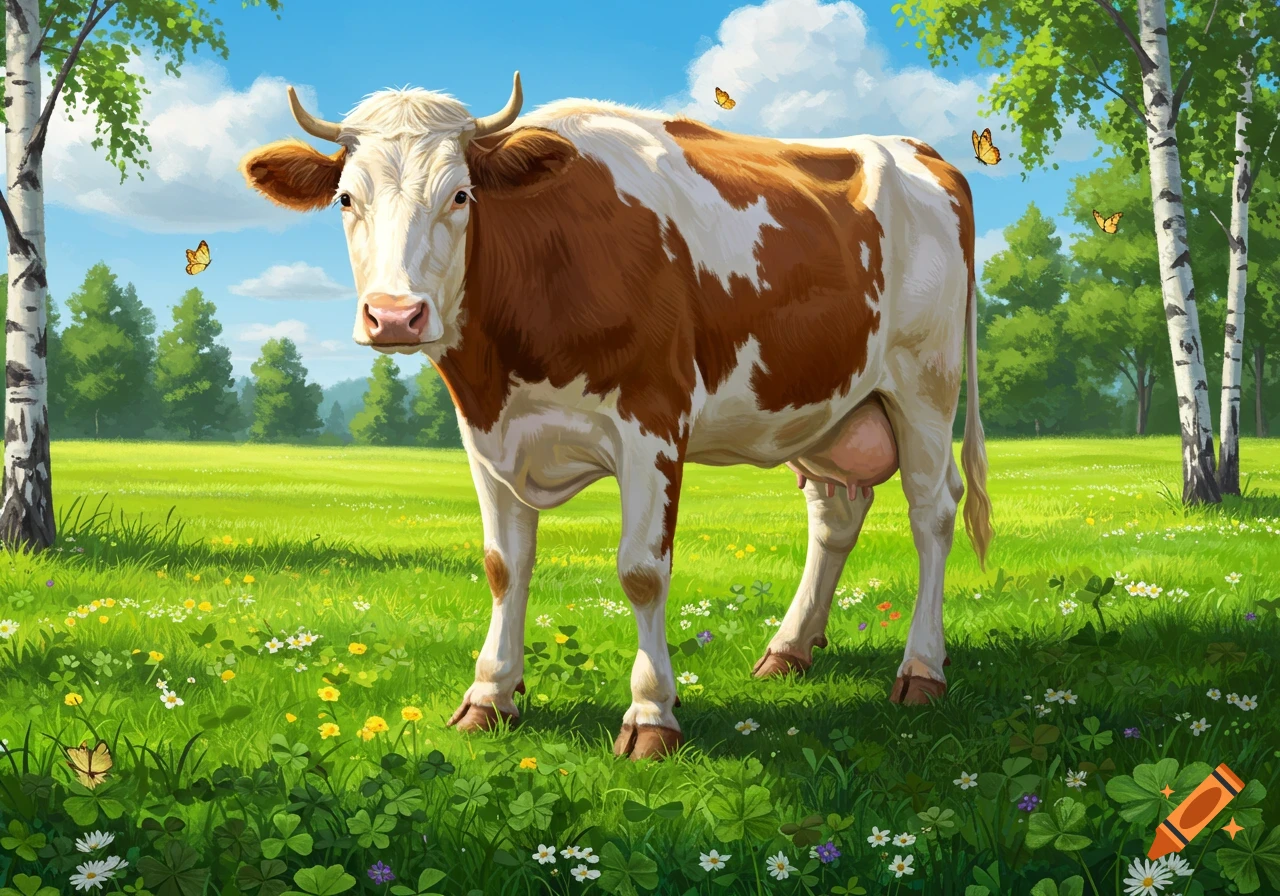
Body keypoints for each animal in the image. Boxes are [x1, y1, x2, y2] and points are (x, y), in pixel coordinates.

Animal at [240, 72, 993, 760]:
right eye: (346, 198)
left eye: (460, 195)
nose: (395, 315)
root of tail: (914, 148)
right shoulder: (486, 436)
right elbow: (503, 565)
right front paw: (490, 697)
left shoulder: (652, 425)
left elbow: (641, 571)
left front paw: (652, 715)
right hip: (827, 401)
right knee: (836, 513)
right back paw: (789, 649)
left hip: (924, 385)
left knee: (932, 512)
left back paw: (922, 669)